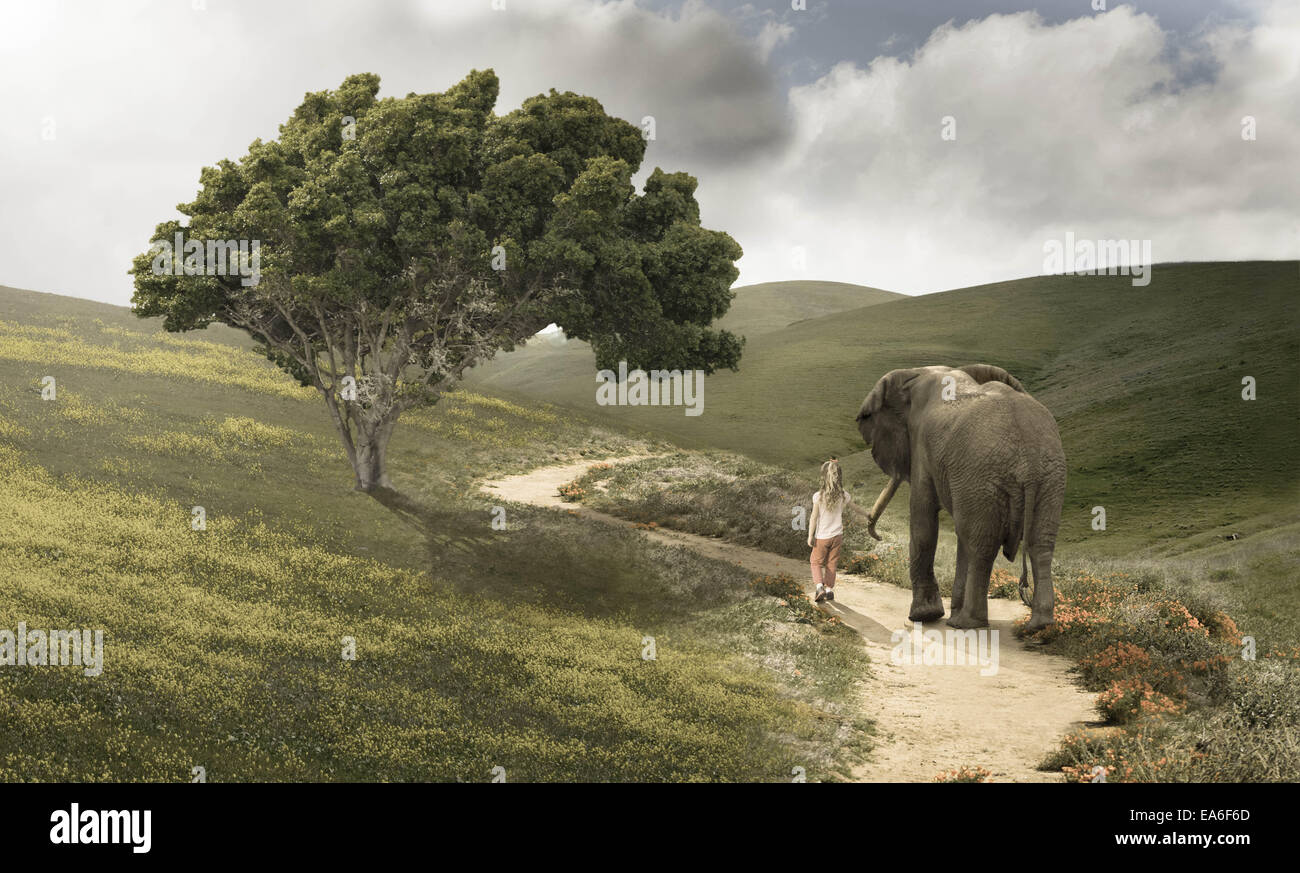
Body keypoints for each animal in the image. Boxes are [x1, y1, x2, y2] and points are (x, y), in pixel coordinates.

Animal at [857, 363, 1060, 631]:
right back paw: (1040, 624)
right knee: (1039, 543)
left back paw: (967, 622)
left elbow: (923, 522)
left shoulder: (923, 448)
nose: (877, 535)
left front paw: (925, 615)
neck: (917, 372)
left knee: (980, 546)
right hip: (1047, 477)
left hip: (984, 474)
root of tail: (1028, 464)